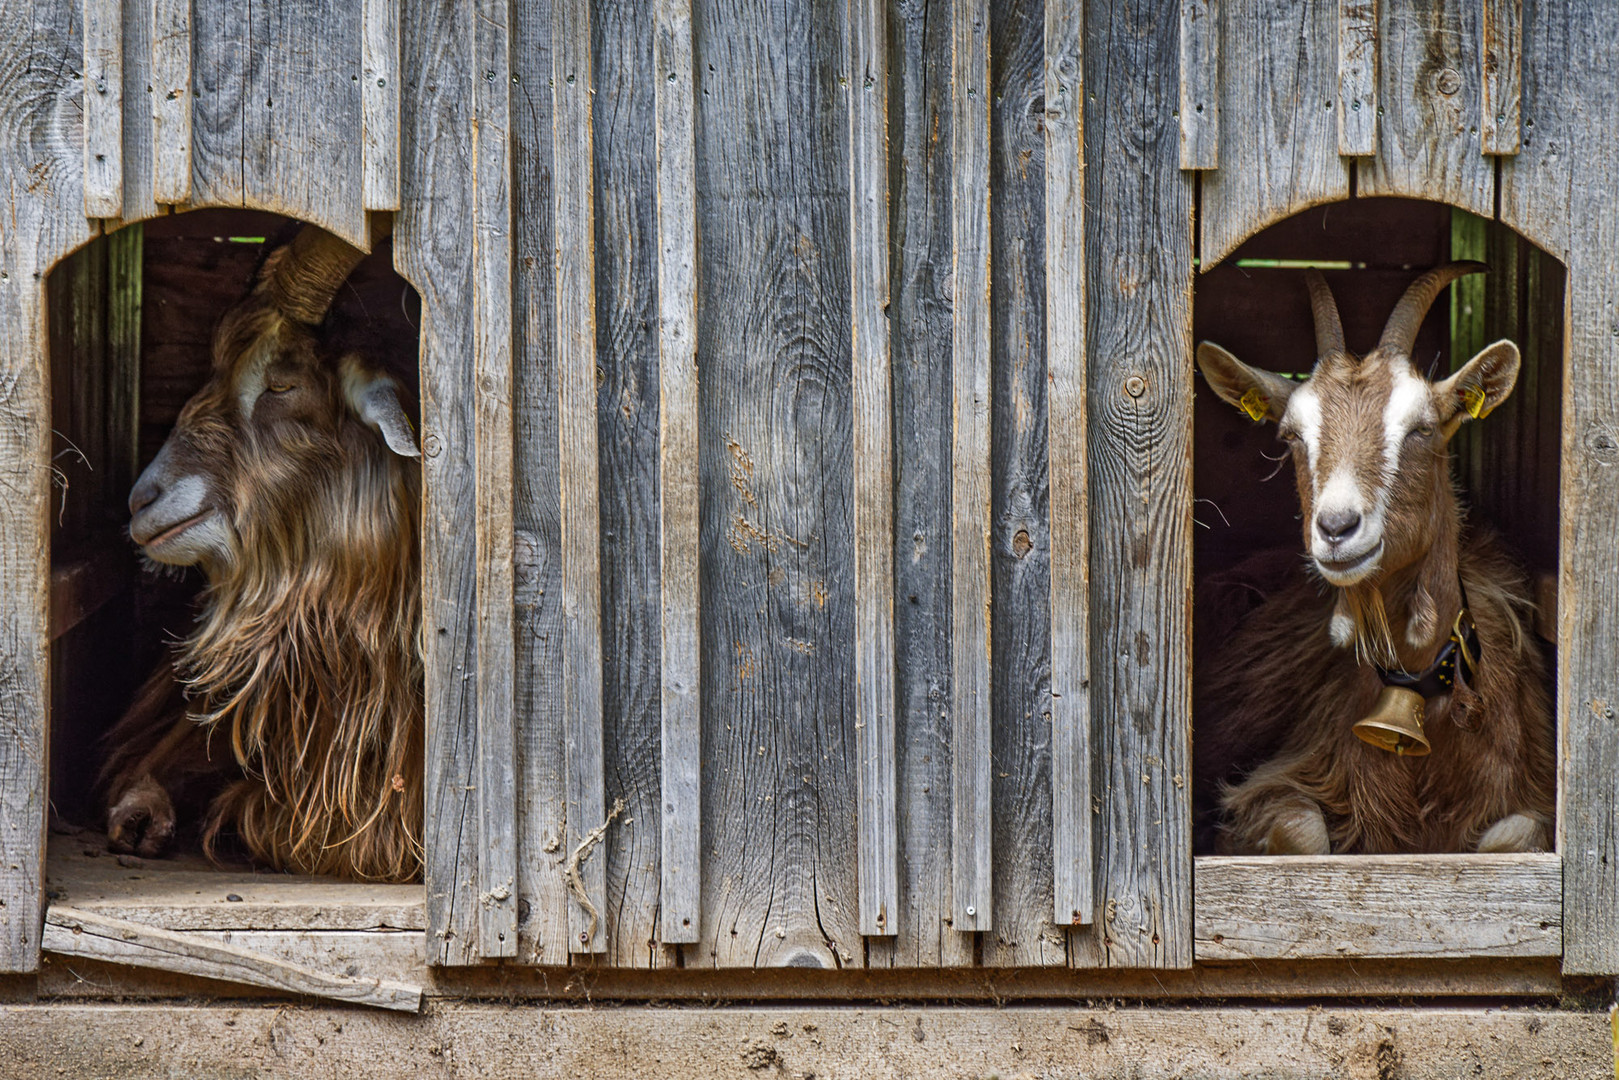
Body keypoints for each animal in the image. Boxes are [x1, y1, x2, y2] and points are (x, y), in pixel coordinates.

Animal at [1191, 262, 1554, 854]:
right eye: (1291, 435)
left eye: (1424, 429)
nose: (1337, 528)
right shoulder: (1271, 788)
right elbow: (1304, 833)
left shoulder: (1532, 792)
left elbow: (1511, 837)